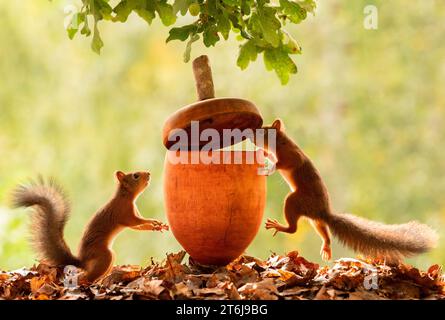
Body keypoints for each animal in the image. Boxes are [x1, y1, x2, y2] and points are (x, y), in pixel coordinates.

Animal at [12, 171, 168, 282]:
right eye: (136, 176)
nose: (148, 173)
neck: (125, 196)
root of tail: (83, 262)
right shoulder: (125, 213)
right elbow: (137, 222)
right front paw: (154, 222)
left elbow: (139, 227)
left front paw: (157, 226)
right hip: (105, 256)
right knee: (86, 277)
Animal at [255, 119, 436, 262]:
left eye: (264, 131)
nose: (252, 135)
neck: (281, 142)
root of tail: (323, 212)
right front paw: (263, 153)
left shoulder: (292, 155)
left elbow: (287, 162)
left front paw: (270, 166)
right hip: (315, 220)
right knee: (324, 232)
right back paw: (326, 247)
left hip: (294, 200)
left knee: (293, 229)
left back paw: (279, 226)